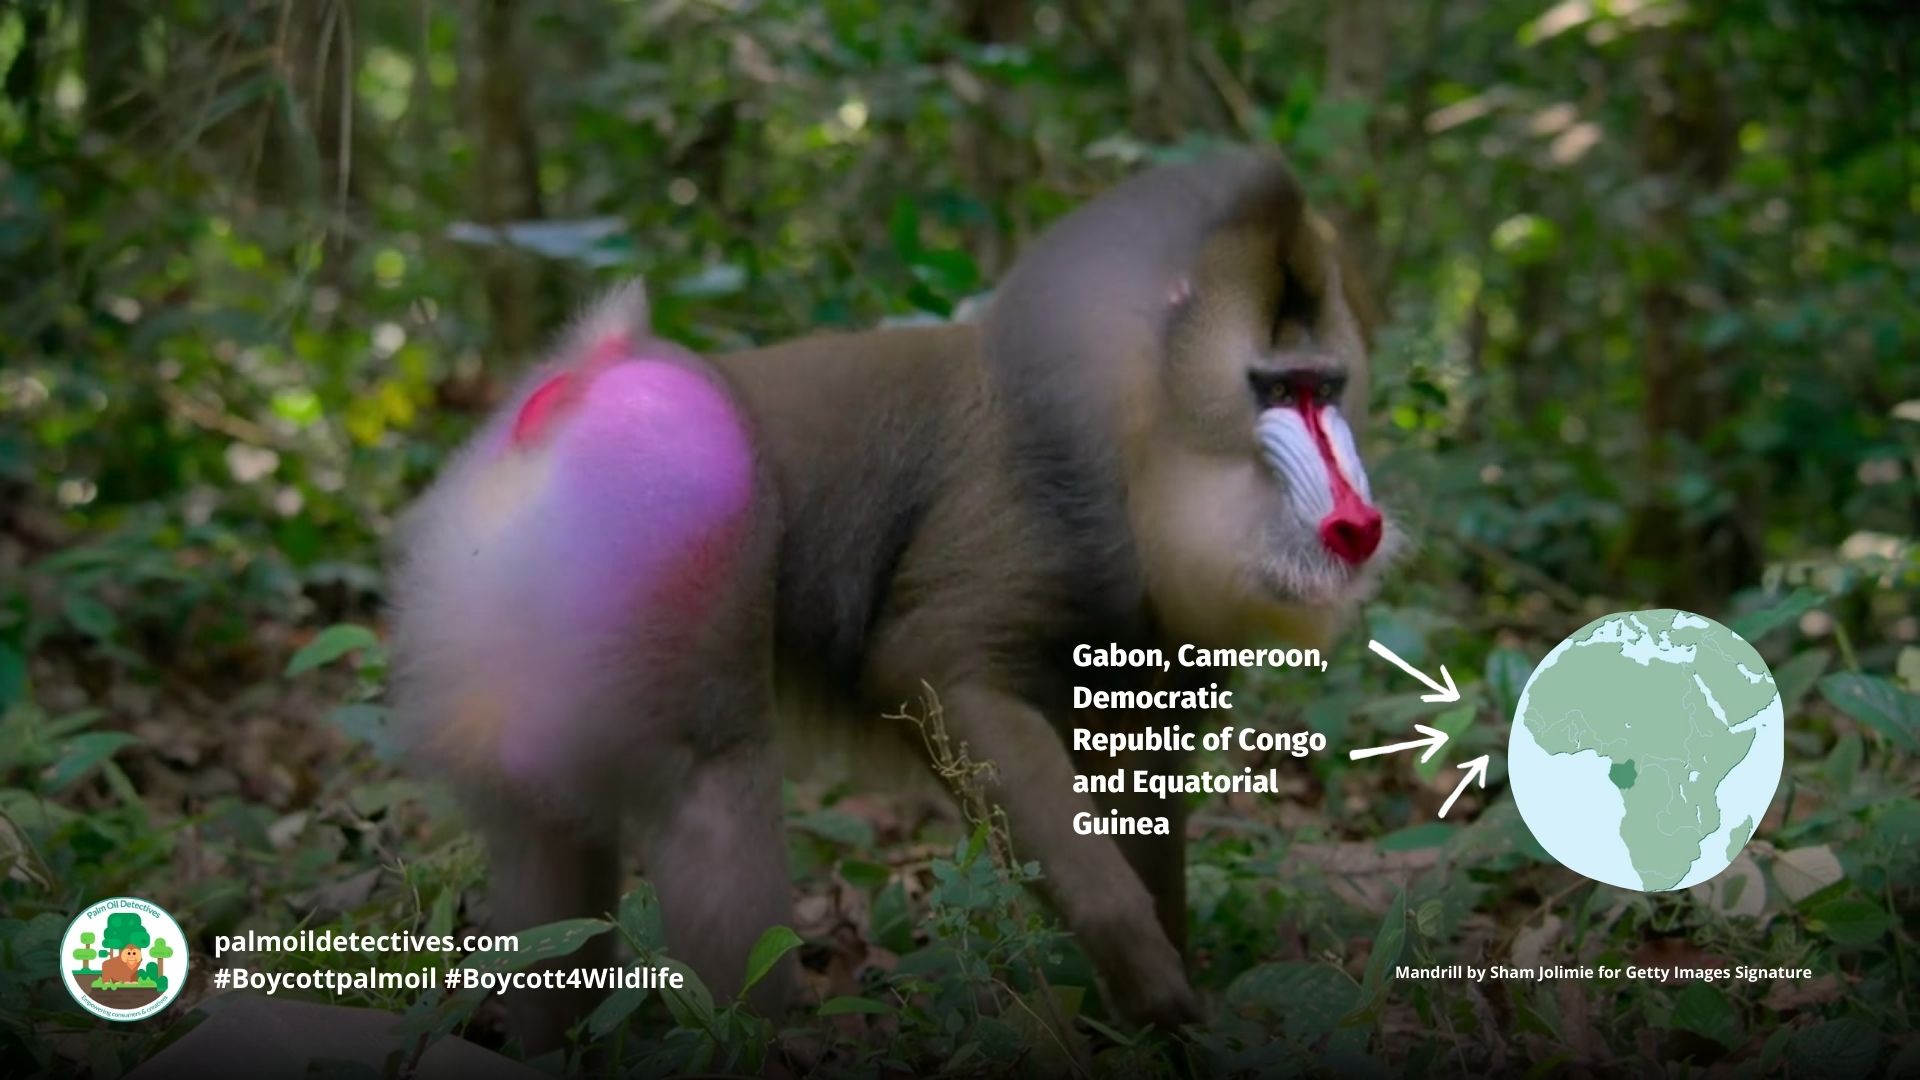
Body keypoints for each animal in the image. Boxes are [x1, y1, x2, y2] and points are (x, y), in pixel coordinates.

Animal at [387, 149, 1398, 1051]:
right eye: (1275, 389)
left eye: (1326, 386)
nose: (1357, 523)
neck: (1136, 419)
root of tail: (583, 383)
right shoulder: (1022, 533)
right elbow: (930, 665)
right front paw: (1152, 985)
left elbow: (1139, 784)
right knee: (714, 781)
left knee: (552, 849)